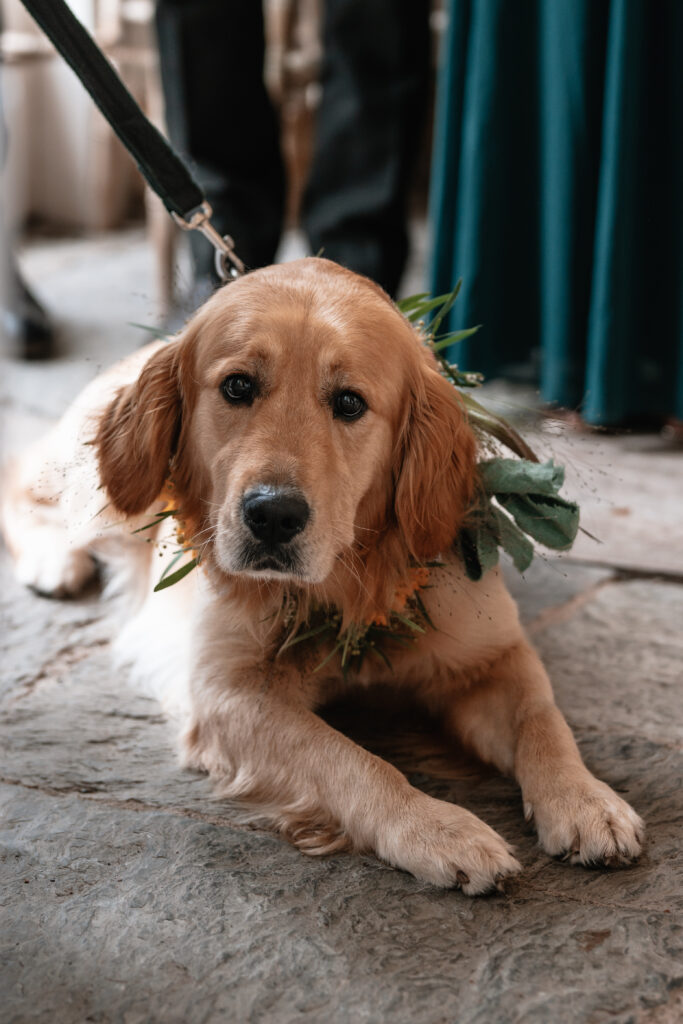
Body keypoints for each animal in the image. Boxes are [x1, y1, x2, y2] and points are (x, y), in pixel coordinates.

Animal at [1, 260, 643, 892]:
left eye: (350, 403)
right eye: (238, 386)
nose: (272, 516)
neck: (349, 585)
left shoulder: (492, 653)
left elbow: (543, 721)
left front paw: (586, 800)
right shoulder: (230, 695)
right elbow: (350, 762)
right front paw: (438, 829)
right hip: (101, 496)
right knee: (21, 482)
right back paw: (55, 562)